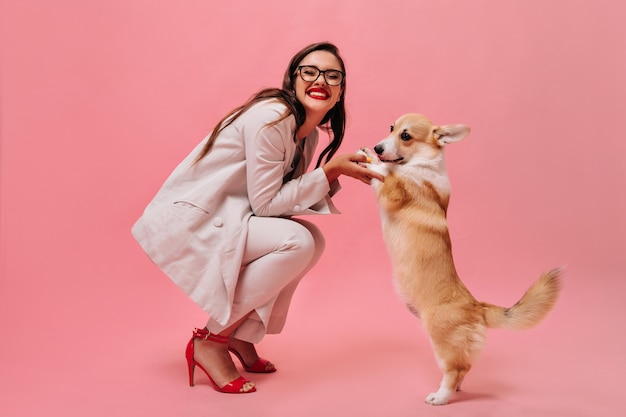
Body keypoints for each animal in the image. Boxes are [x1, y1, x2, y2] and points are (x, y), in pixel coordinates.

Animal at [358, 113, 560, 404]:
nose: (377, 148)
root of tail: (478, 307)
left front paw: (374, 163)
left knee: (455, 370)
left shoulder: (396, 191)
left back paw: (441, 396)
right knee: (464, 368)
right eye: (391, 128)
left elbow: (387, 175)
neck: (421, 165)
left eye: (406, 136)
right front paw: (367, 154)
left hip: (441, 340)